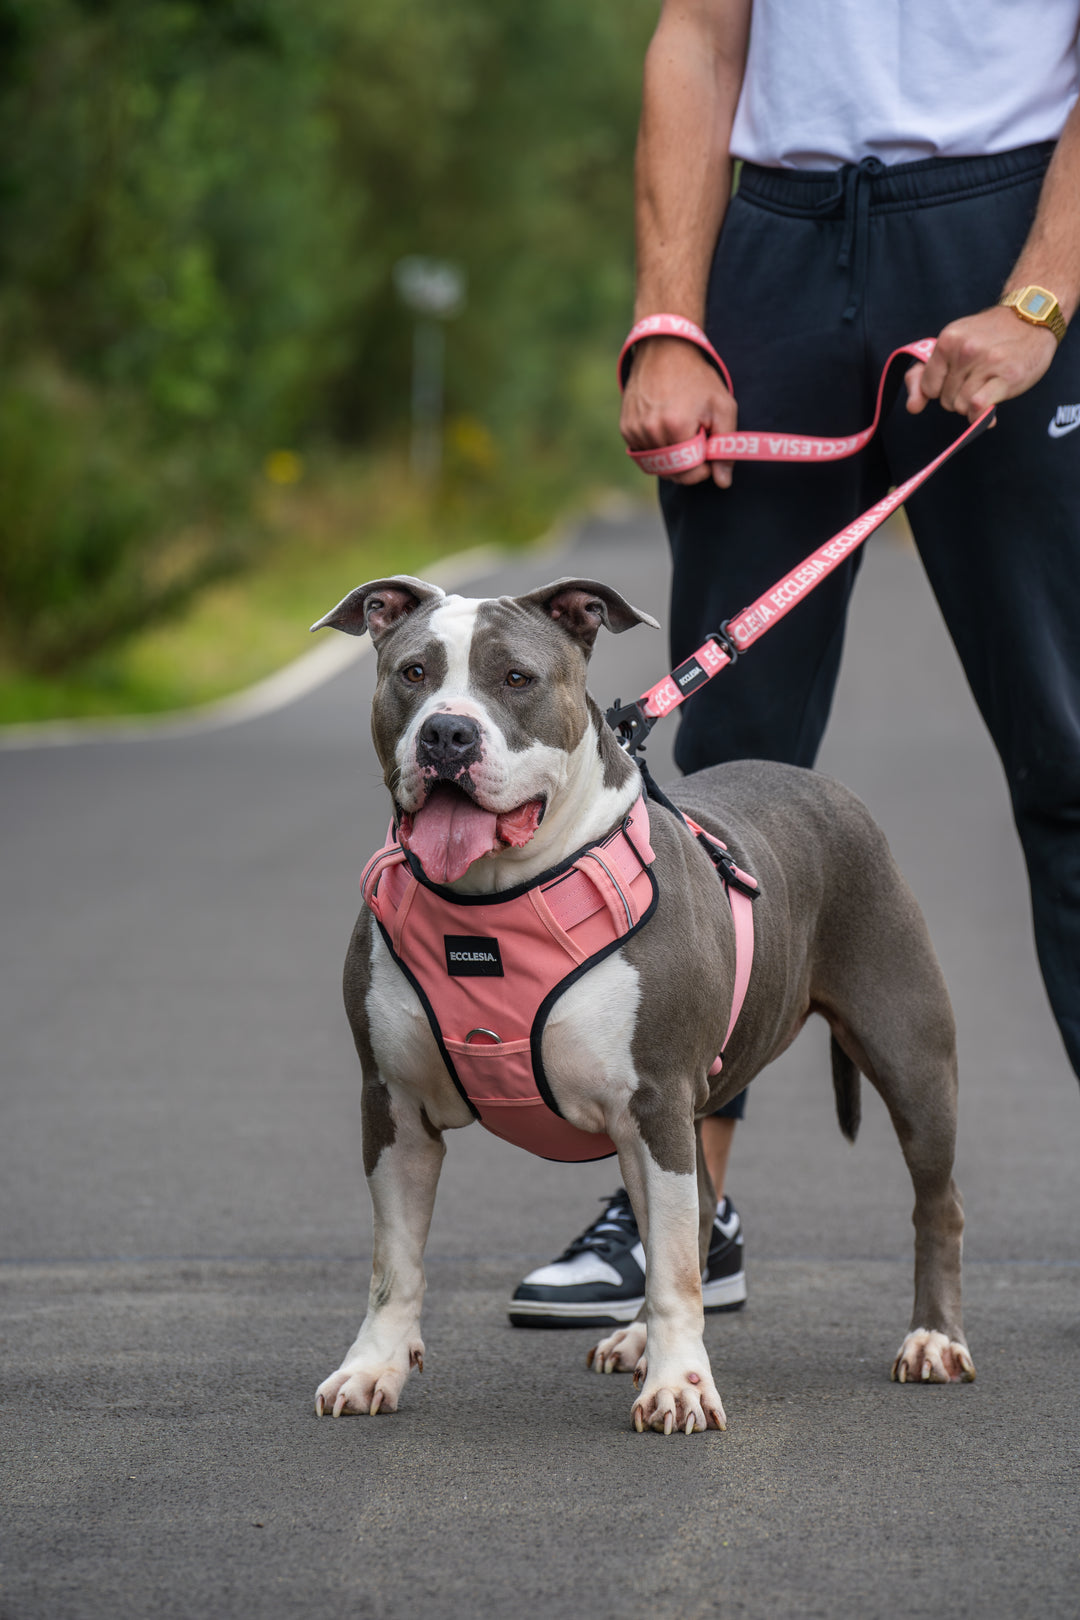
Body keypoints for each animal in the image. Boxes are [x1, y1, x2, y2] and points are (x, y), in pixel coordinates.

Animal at [307, 576, 977, 1438]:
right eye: (413, 673)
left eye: (517, 678)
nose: (447, 734)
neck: (490, 902)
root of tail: (819, 783)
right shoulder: (395, 1110)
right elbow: (395, 1264)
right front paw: (373, 1369)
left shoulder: (654, 1102)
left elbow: (675, 1274)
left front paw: (680, 1387)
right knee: (692, 1213)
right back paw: (633, 1339)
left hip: (908, 1059)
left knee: (936, 1202)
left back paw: (933, 1340)